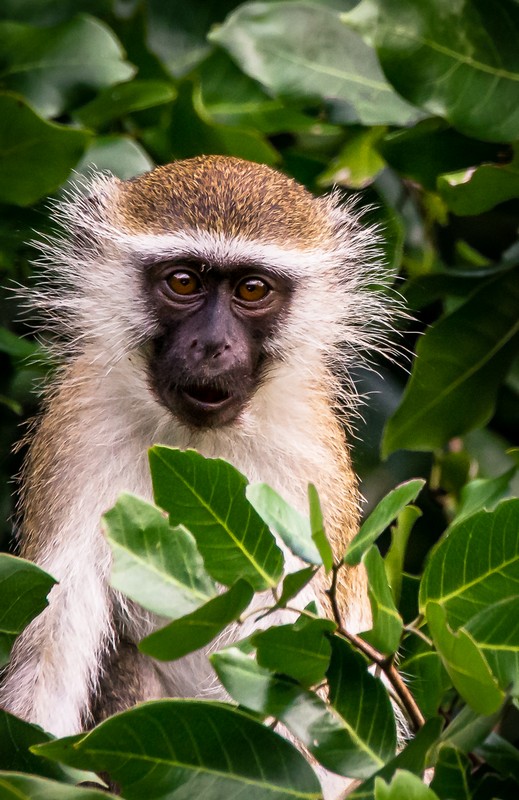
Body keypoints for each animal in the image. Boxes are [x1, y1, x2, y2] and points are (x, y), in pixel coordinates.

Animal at [0, 156, 396, 749]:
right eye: (183, 281)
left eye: (252, 290)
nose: (212, 346)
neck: (194, 453)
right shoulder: (76, 435)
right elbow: (49, 641)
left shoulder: (312, 464)